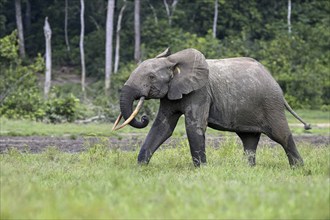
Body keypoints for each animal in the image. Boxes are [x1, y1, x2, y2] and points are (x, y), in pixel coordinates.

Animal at [112, 48, 310, 168]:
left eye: (151, 77)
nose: (143, 117)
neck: (173, 61)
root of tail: (274, 80)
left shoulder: (200, 92)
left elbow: (194, 127)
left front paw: (201, 170)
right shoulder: (171, 93)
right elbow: (162, 128)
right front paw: (140, 167)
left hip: (271, 103)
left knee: (281, 134)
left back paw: (299, 168)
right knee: (249, 139)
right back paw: (249, 169)